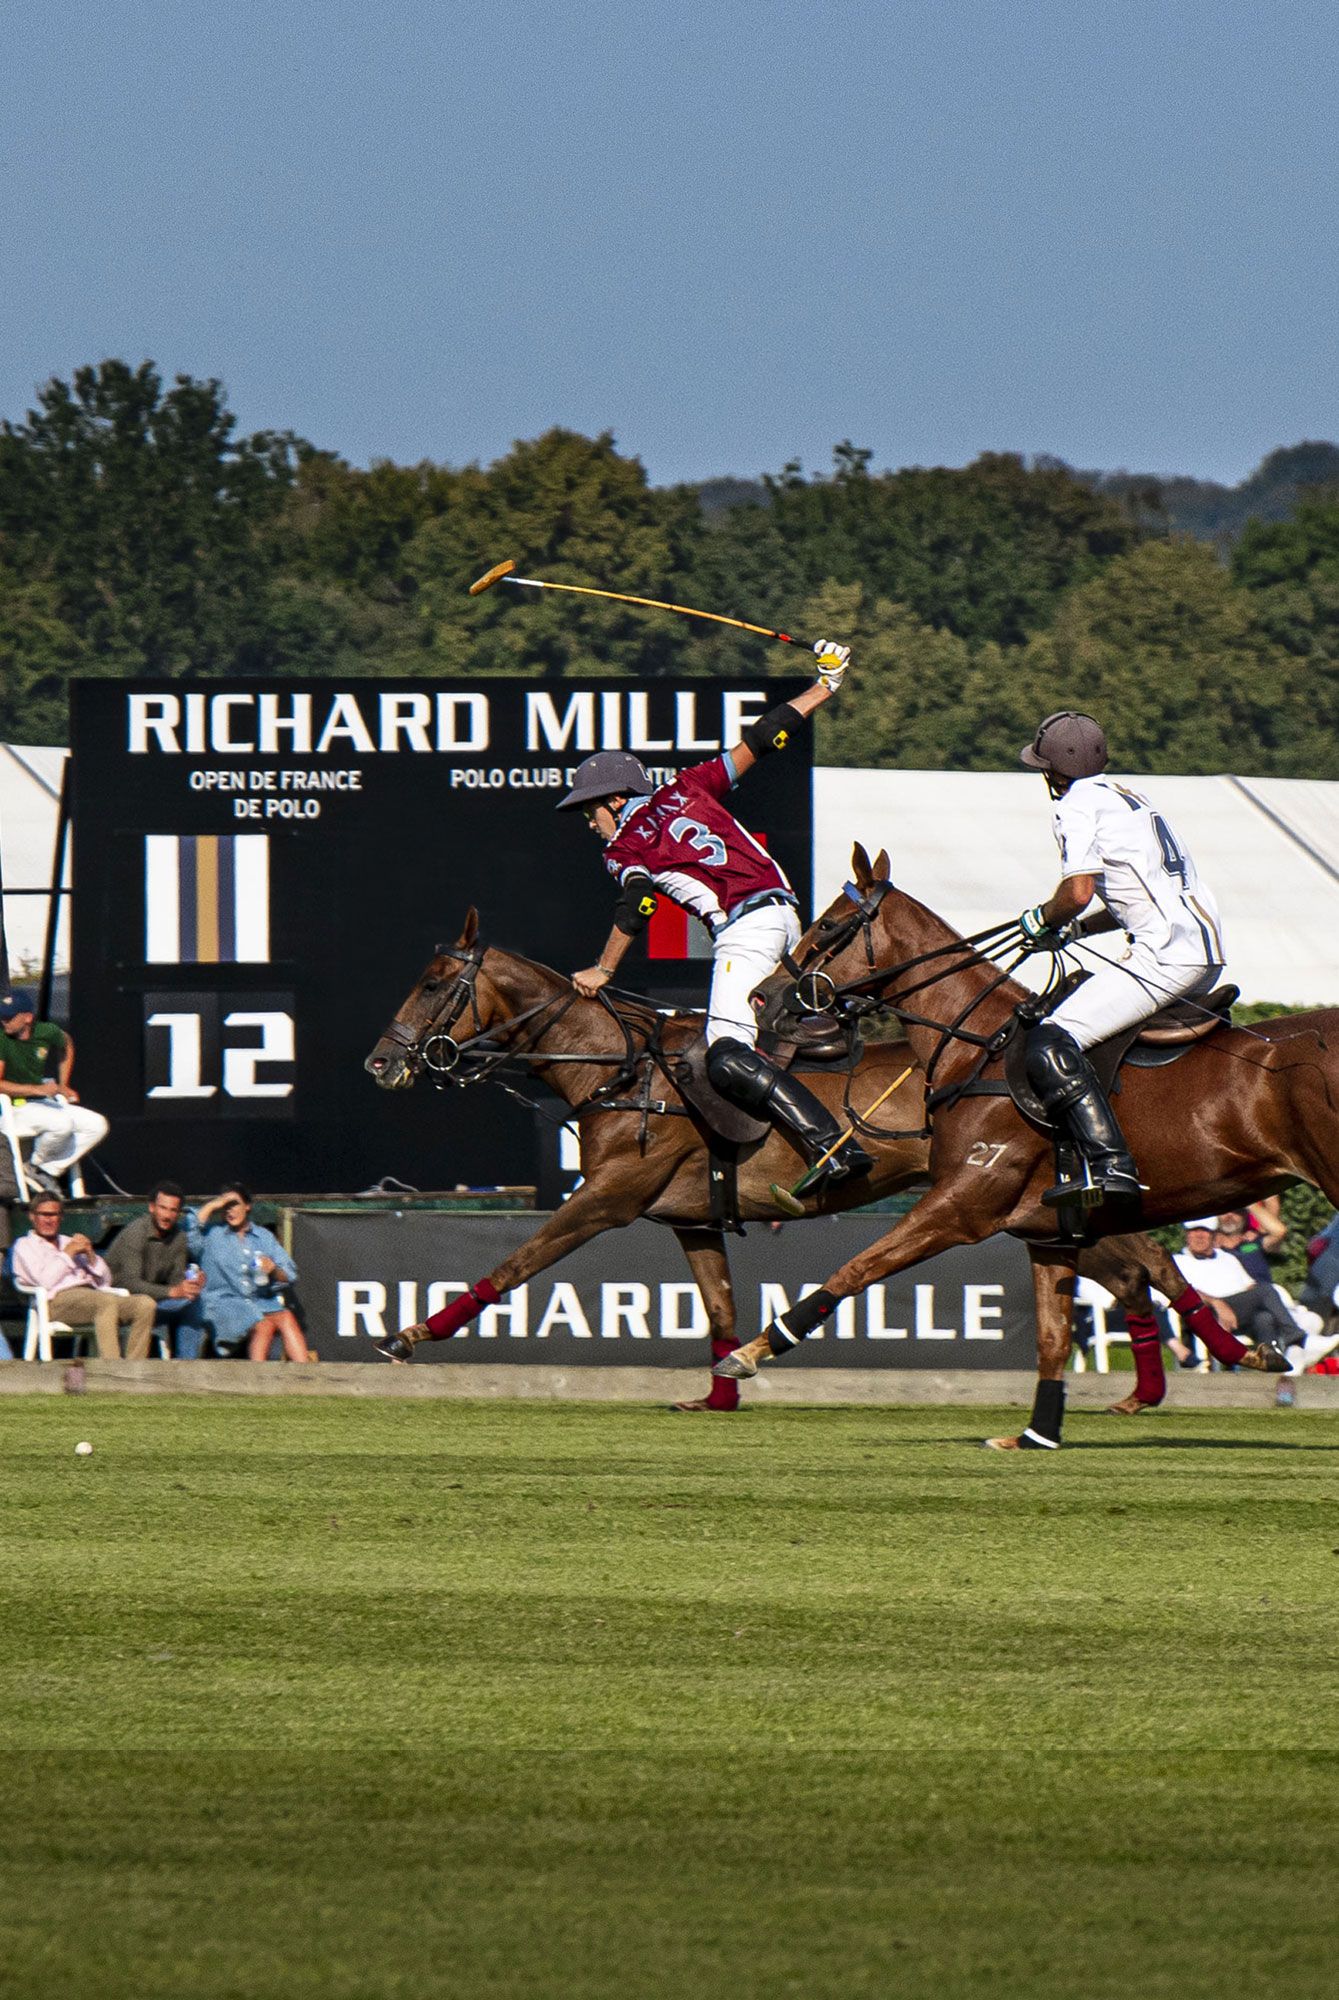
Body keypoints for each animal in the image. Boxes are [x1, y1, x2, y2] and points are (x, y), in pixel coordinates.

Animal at [363, 908, 1215, 1408]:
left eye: (433, 983)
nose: (379, 1063)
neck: (618, 1068)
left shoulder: (609, 1194)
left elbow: (515, 1262)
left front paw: (408, 1335)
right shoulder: (692, 1220)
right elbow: (717, 1306)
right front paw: (720, 1390)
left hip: (990, 1197)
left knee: (1134, 1263)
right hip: (1014, 1201)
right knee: (1132, 1264)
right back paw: (1180, 1367)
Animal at [719, 844, 1319, 1440]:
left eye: (827, 924)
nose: (763, 995)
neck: (977, 1045)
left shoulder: (963, 1202)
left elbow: (856, 1268)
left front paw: (753, 1351)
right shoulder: (1045, 1228)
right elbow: (1053, 1336)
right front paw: (1037, 1432)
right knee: (1144, 1270)